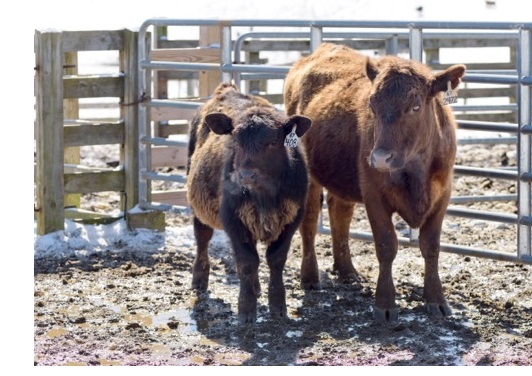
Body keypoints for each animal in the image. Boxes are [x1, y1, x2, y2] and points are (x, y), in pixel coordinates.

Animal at [187, 82, 312, 324]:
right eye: (236, 139)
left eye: (273, 142)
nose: (246, 175)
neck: (265, 196)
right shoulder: (233, 219)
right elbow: (246, 261)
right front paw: (246, 309)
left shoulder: (293, 218)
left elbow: (276, 259)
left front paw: (278, 305)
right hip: (198, 207)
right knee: (202, 237)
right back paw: (199, 278)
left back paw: (256, 287)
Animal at [282, 42, 466, 322]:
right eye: (372, 104)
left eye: (416, 106)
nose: (380, 157)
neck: (415, 171)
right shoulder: (374, 197)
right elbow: (386, 245)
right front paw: (385, 304)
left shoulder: (441, 197)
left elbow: (431, 247)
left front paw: (436, 300)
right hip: (309, 177)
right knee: (310, 222)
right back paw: (310, 277)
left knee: (339, 213)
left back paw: (346, 271)